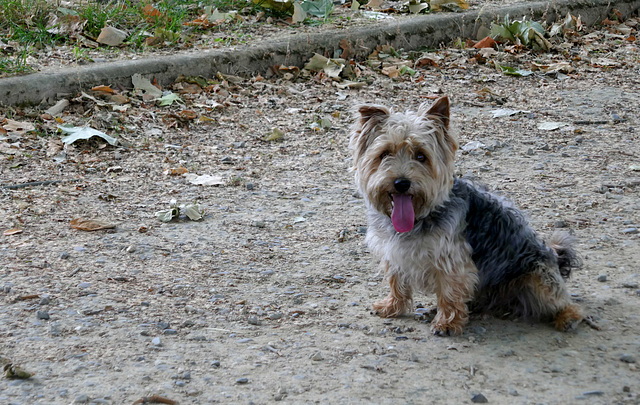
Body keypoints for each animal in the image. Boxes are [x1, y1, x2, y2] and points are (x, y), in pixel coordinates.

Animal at [350, 95, 584, 334]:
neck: (419, 217)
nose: (401, 183)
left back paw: (567, 317)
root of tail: (555, 258)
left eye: (421, 156)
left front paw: (447, 323)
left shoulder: (451, 259)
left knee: (565, 302)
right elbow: (397, 282)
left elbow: (450, 291)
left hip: (537, 277)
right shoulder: (394, 253)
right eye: (385, 153)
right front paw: (392, 306)